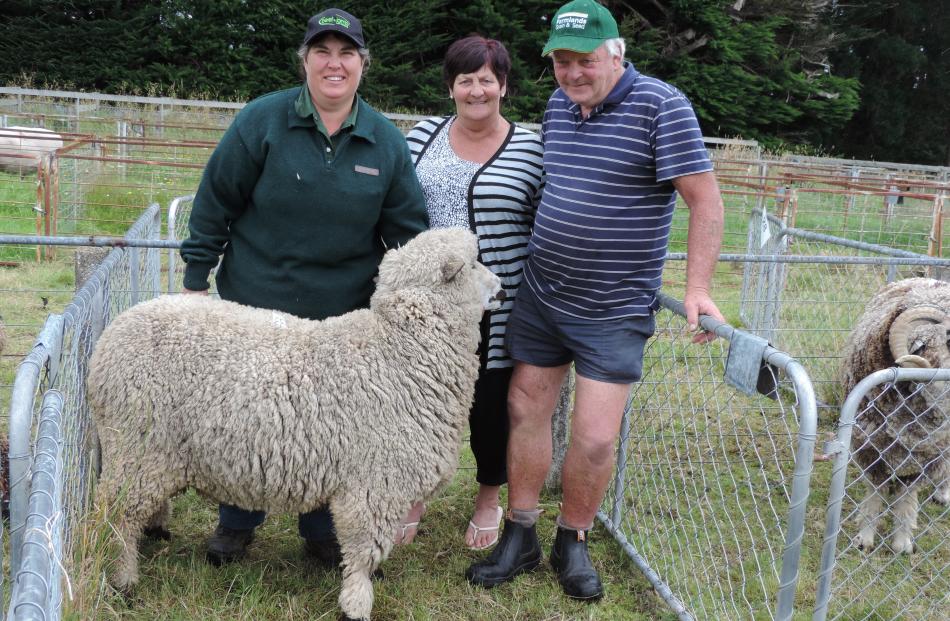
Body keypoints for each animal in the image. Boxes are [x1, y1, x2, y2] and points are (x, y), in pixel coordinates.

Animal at [89, 228, 506, 620]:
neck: (397, 350)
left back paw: (155, 530)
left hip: (149, 451)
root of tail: (108, 339)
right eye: (472, 265)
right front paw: (356, 603)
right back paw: (123, 578)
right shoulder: (373, 485)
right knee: (115, 515)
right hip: (136, 443)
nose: (502, 288)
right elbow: (362, 554)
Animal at [840, 276, 950, 552]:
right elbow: (875, 493)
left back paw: (943, 493)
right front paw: (865, 539)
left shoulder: (925, 459)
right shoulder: (870, 448)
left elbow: (906, 500)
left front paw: (902, 542)